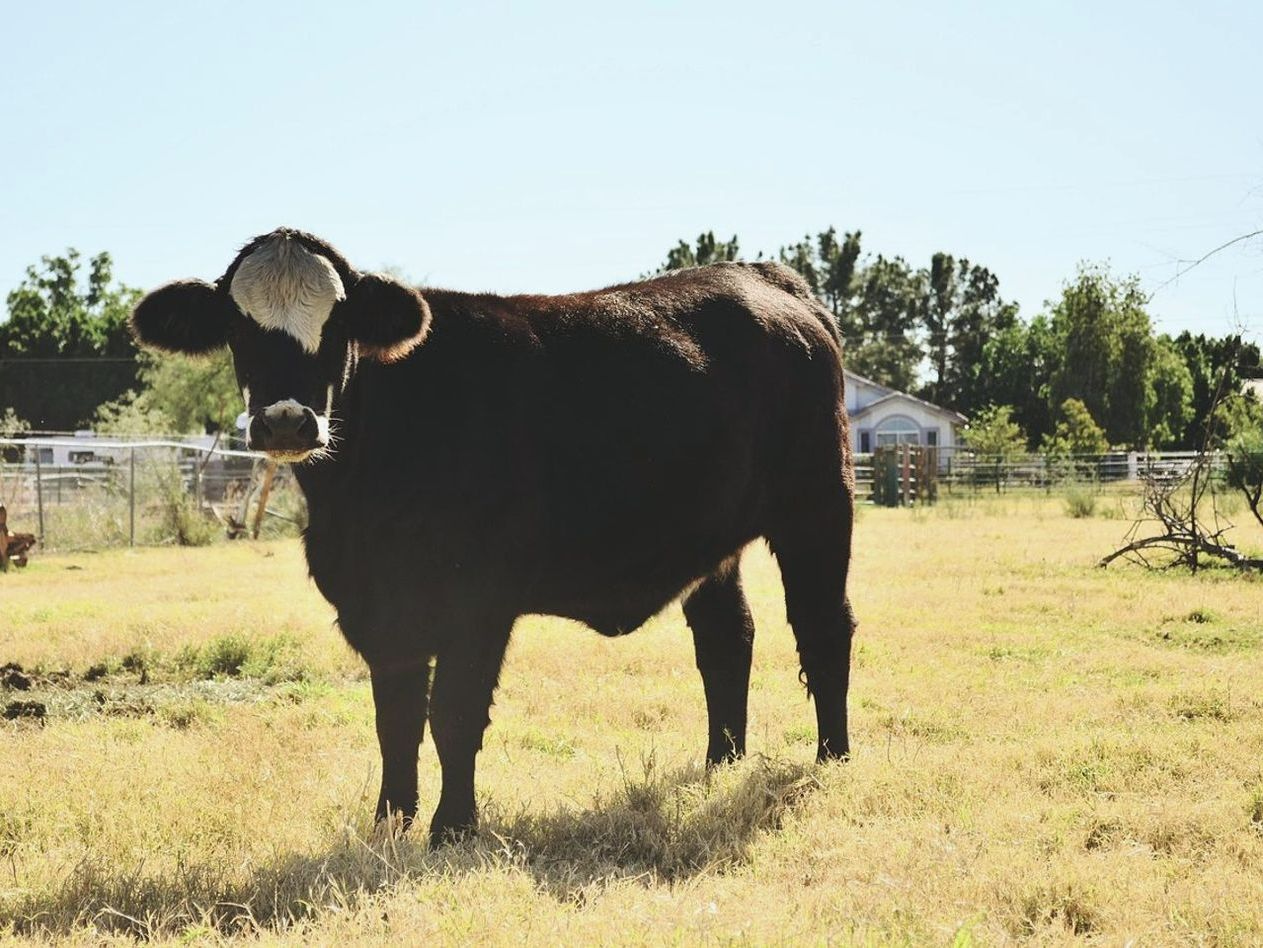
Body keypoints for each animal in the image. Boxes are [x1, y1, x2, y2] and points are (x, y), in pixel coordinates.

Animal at [130, 228, 857, 843]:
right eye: (237, 326)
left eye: (336, 325)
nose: (286, 421)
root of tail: (762, 276)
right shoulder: (379, 605)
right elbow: (395, 719)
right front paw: (390, 822)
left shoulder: (477, 601)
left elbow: (452, 715)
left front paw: (452, 828)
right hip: (713, 535)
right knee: (726, 638)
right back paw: (720, 763)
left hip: (818, 504)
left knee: (823, 629)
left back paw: (833, 759)